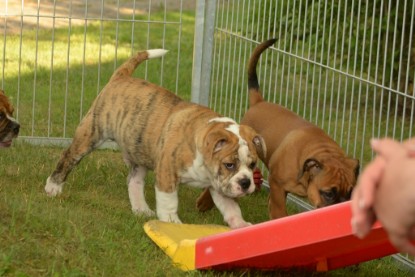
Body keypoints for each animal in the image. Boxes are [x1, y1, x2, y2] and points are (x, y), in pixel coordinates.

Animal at [45, 48, 266, 227]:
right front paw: (172, 222)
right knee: (67, 158)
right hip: (91, 134)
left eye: (252, 165)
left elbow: (231, 207)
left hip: (139, 151)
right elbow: (169, 202)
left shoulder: (220, 185)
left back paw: (141, 208)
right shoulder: (167, 173)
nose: (246, 183)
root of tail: (121, 77)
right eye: (229, 164)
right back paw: (53, 187)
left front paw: (241, 225)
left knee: (134, 181)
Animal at [197, 38, 360, 219]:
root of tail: (259, 101)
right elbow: (279, 211)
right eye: (329, 193)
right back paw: (205, 202)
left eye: (351, 193)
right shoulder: (277, 185)